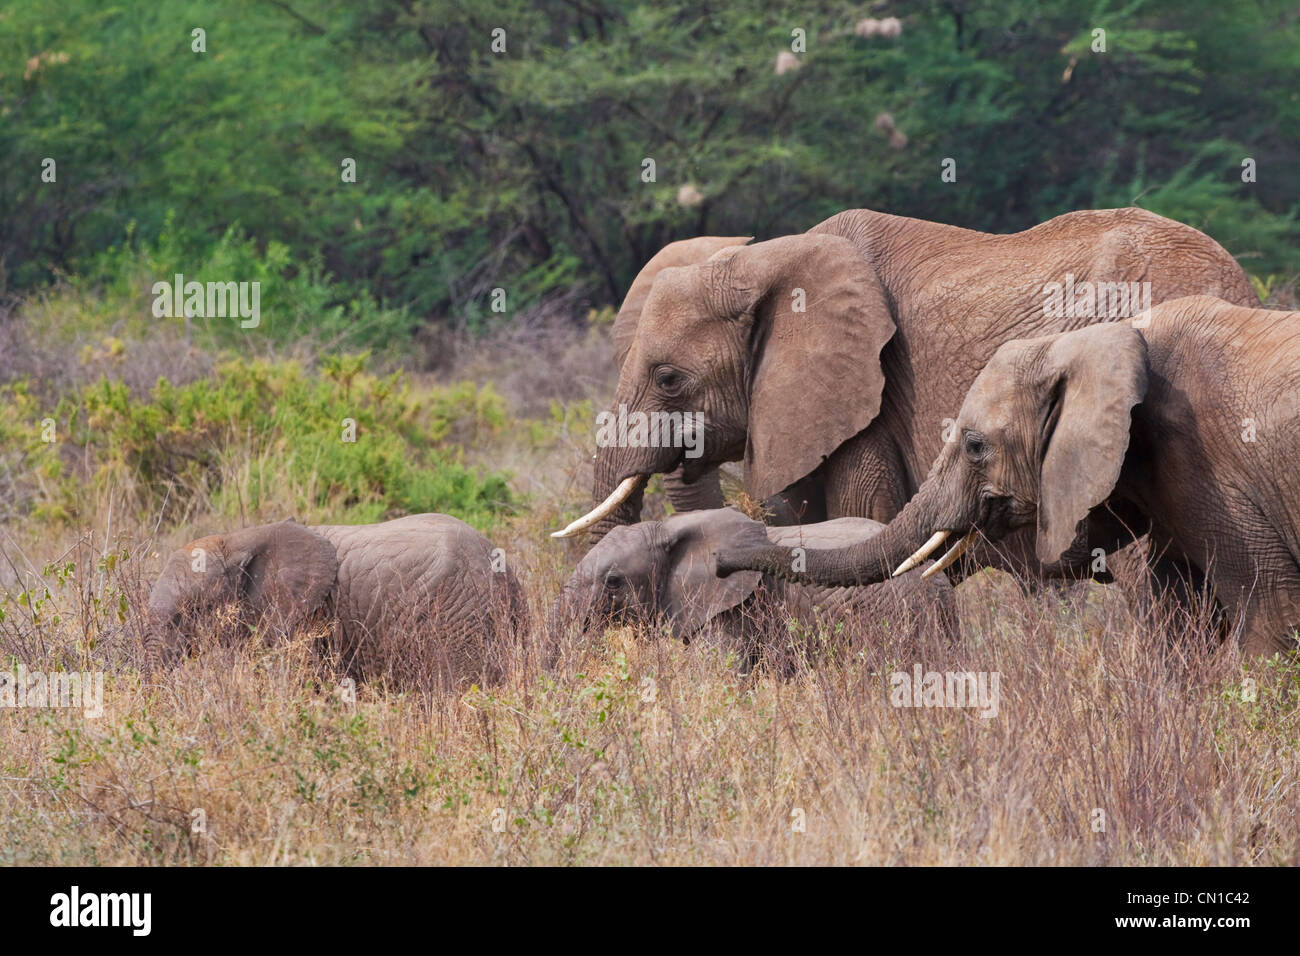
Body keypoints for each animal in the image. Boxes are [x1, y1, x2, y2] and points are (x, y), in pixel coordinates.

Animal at [717, 299, 1300, 658]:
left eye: (975, 446)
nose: (722, 563)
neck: (1097, 341)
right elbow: (1183, 623)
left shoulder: (1209, 472)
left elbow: (1270, 618)